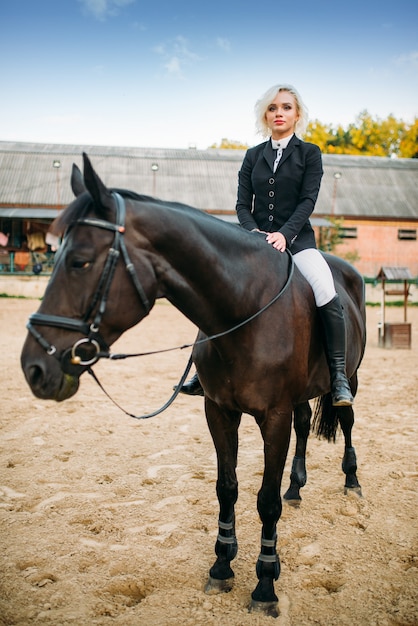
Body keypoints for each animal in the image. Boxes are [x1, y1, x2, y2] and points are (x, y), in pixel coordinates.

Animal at [20, 155, 366, 616]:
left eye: (78, 261)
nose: (33, 367)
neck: (245, 308)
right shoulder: (218, 411)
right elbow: (227, 488)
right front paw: (222, 565)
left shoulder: (271, 417)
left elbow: (266, 500)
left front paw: (265, 584)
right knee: (304, 423)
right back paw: (296, 486)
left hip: (351, 378)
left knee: (345, 420)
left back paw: (352, 482)